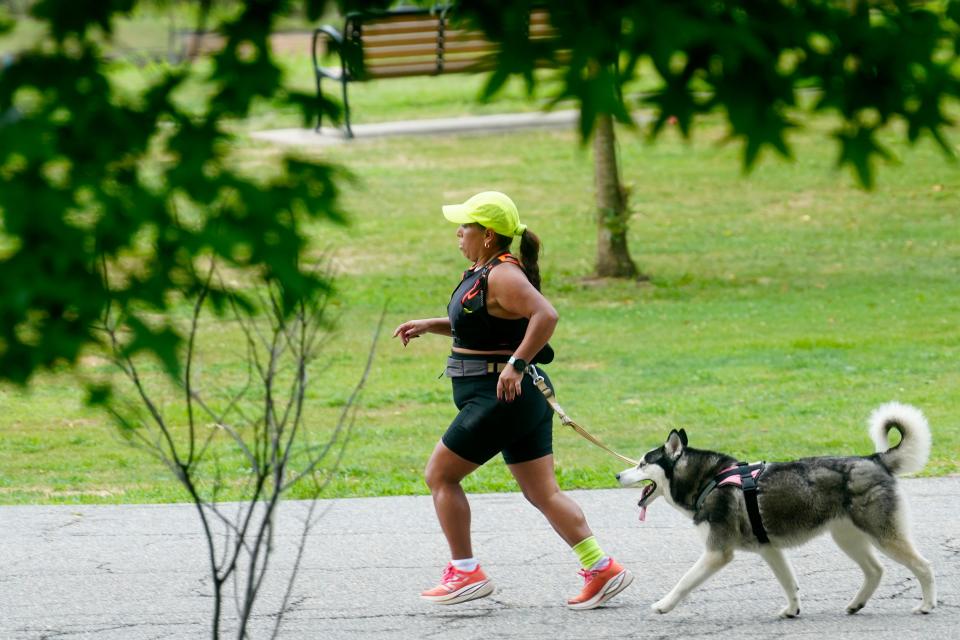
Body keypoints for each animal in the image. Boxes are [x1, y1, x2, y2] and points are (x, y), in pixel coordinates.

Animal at [616, 402, 936, 616]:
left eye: (642, 463)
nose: (617, 475)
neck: (708, 479)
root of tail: (874, 458)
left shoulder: (717, 552)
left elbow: (684, 581)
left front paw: (663, 605)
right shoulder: (769, 549)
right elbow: (789, 583)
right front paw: (792, 610)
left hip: (882, 535)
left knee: (923, 566)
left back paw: (927, 604)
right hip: (847, 538)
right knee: (875, 570)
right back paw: (856, 603)